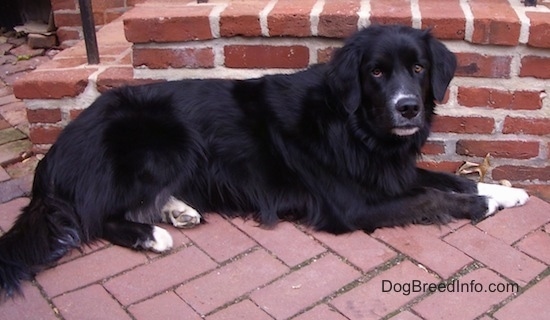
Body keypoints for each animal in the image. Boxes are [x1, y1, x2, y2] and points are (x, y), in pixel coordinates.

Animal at [0, 25, 528, 298]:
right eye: (376, 73)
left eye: (418, 68)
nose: (408, 108)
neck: (353, 125)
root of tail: (55, 155)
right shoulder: (352, 205)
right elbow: (431, 197)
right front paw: (485, 206)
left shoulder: (387, 173)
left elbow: (445, 178)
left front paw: (506, 191)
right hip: (165, 142)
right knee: (97, 216)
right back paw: (153, 234)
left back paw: (179, 210)